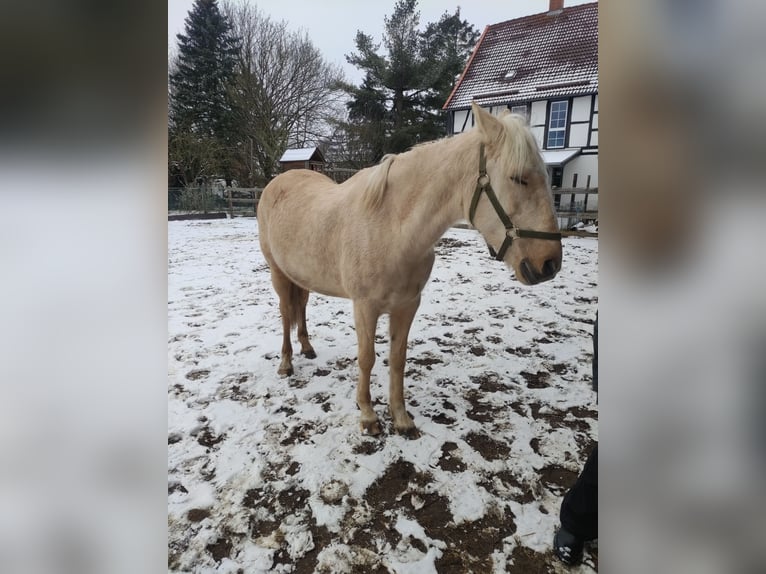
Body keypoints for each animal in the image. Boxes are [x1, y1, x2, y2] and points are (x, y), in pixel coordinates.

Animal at [258, 103, 564, 436]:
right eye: (519, 179)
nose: (549, 264)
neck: (392, 228)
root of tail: (278, 182)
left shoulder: (407, 306)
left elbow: (398, 359)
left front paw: (401, 417)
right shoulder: (364, 308)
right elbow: (367, 359)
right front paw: (368, 415)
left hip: (299, 274)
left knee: (300, 306)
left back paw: (307, 347)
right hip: (278, 273)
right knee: (286, 313)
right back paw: (286, 363)